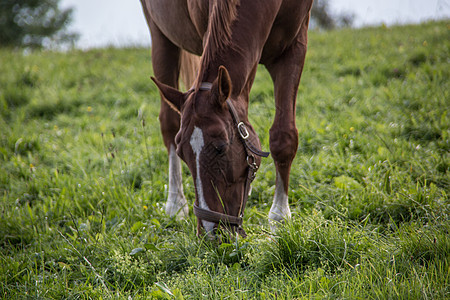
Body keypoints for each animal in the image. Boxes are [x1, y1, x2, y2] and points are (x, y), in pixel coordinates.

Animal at [141, 0, 312, 236]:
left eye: (221, 148)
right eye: (182, 154)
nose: (209, 232)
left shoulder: (293, 48)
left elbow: (283, 137)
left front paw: (280, 218)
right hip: (160, 34)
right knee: (169, 123)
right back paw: (175, 205)